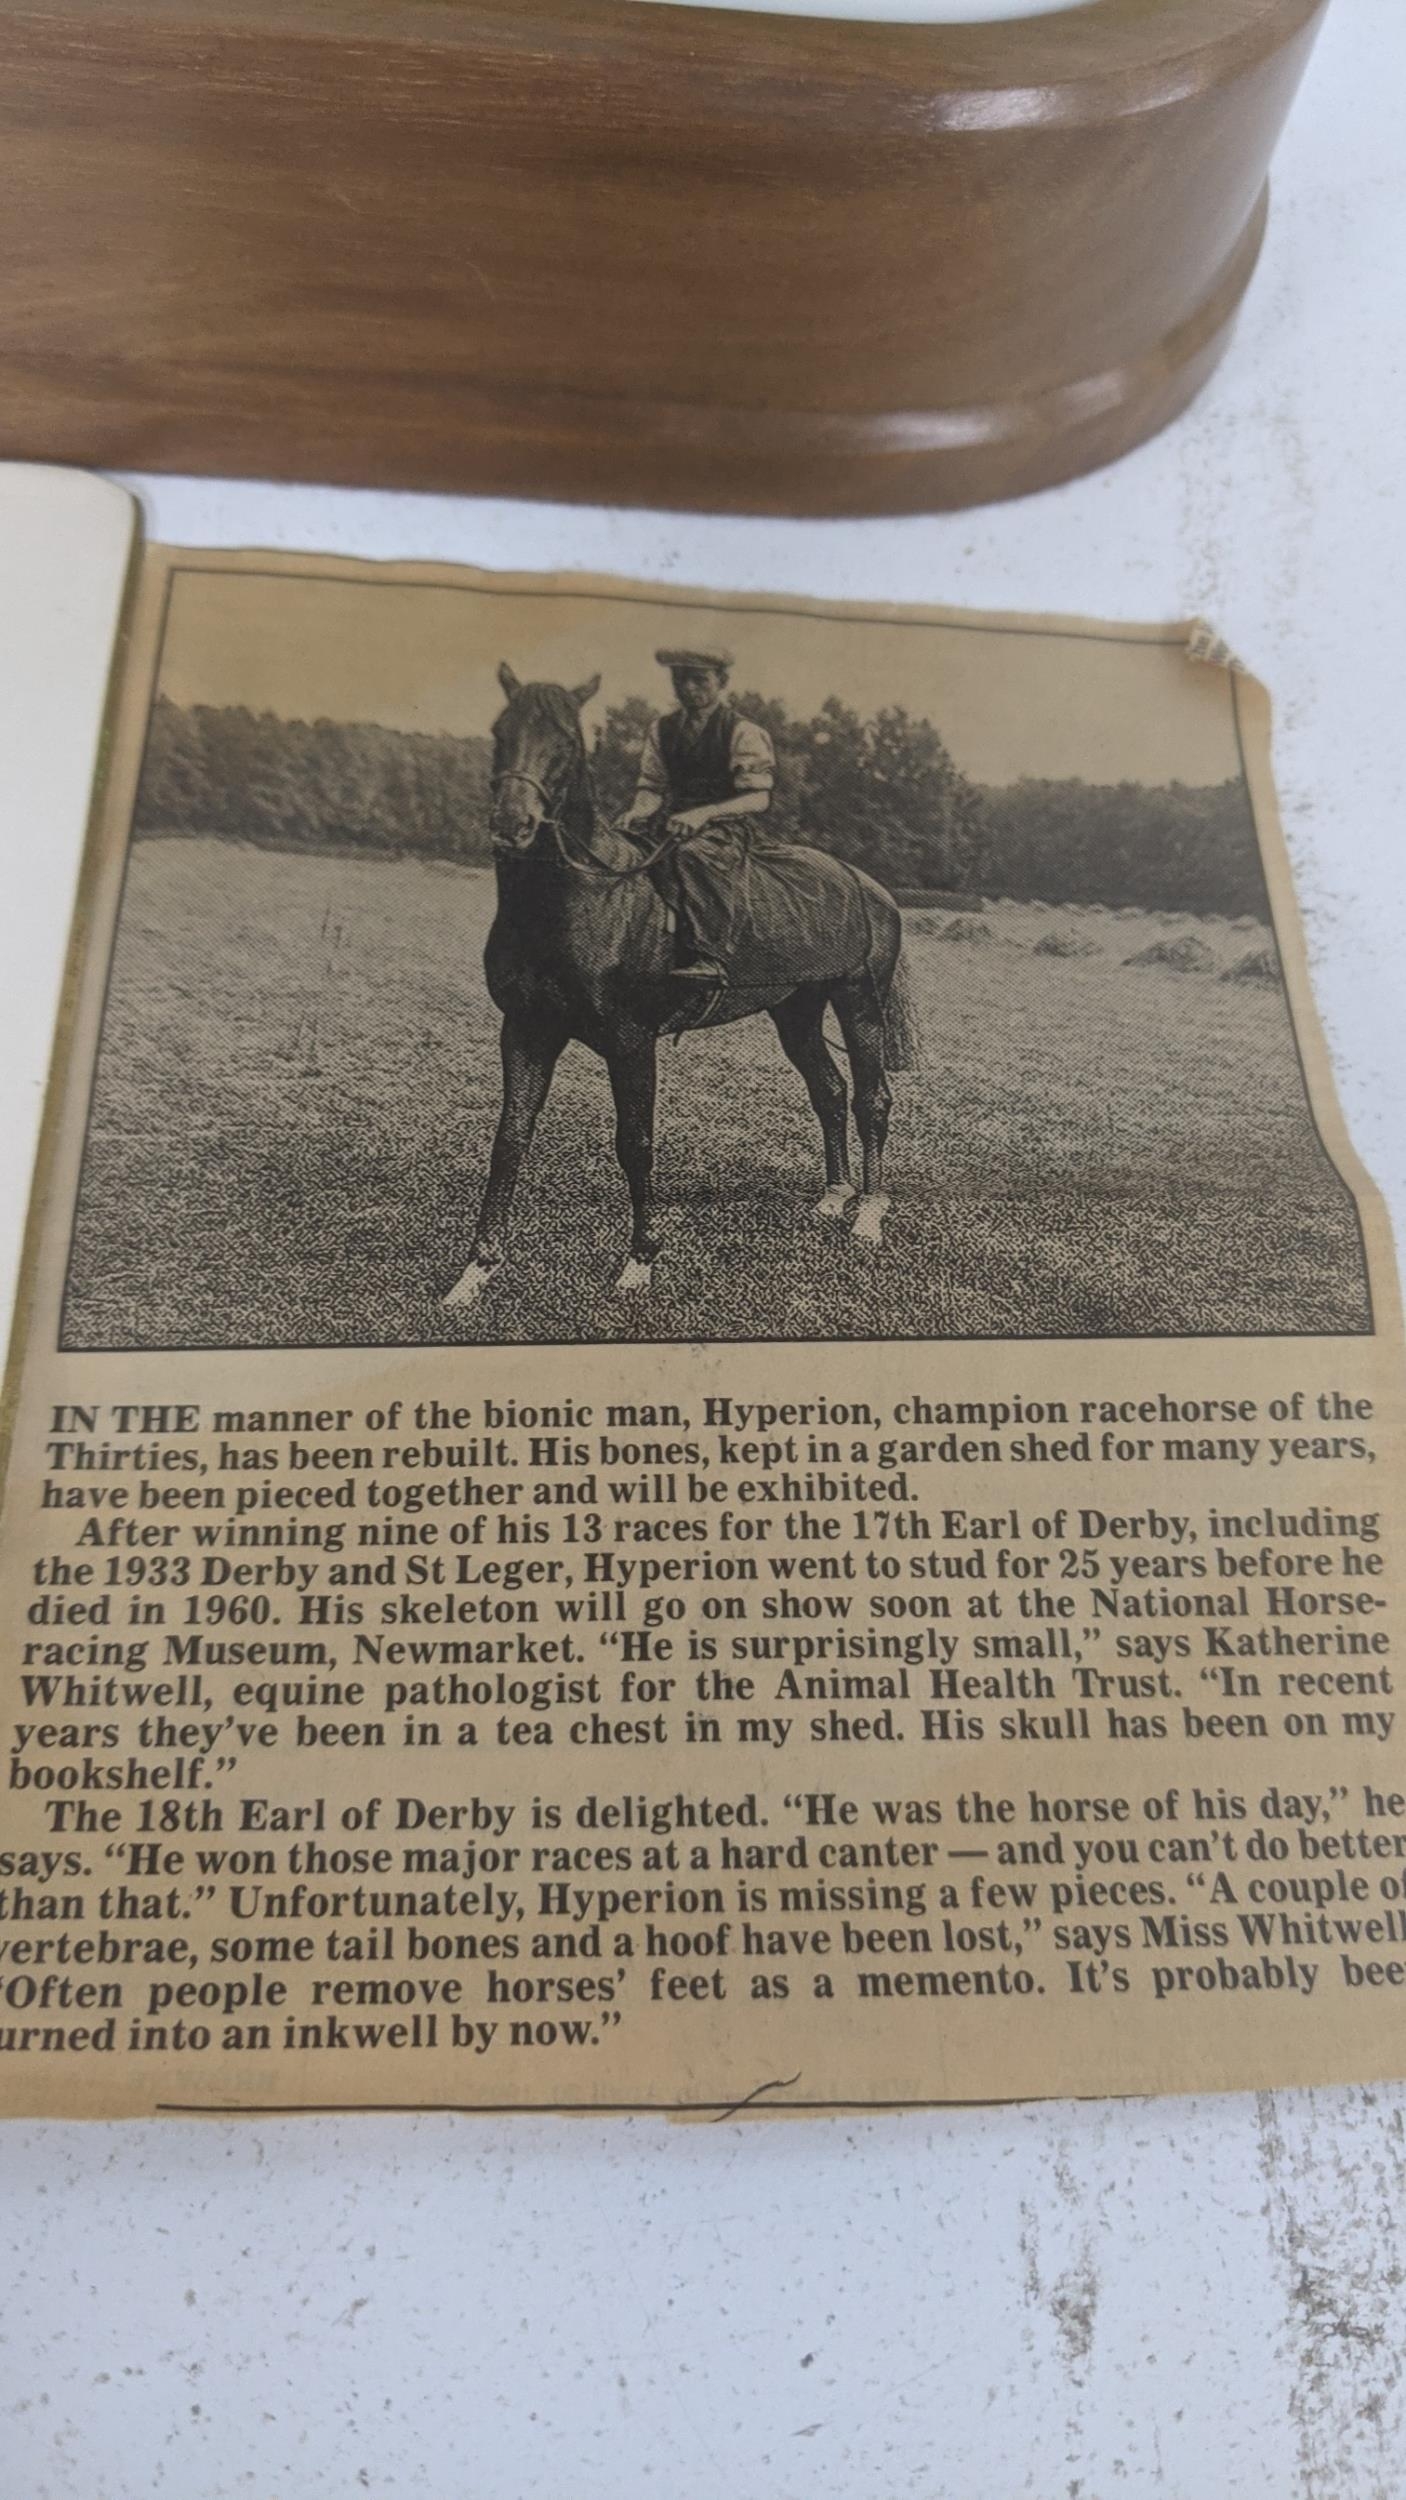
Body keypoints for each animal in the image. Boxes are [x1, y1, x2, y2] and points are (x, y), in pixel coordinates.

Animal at [442, 675, 915, 1320]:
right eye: (499, 730)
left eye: (567, 740)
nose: (512, 823)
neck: (578, 900)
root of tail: (872, 887)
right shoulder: (525, 1031)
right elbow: (510, 1139)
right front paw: (476, 1272)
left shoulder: (631, 1042)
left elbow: (635, 1144)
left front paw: (639, 1263)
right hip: (795, 1011)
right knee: (830, 1090)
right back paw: (833, 1196)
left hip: (859, 1003)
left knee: (872, 1099)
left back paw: (867, 1215)